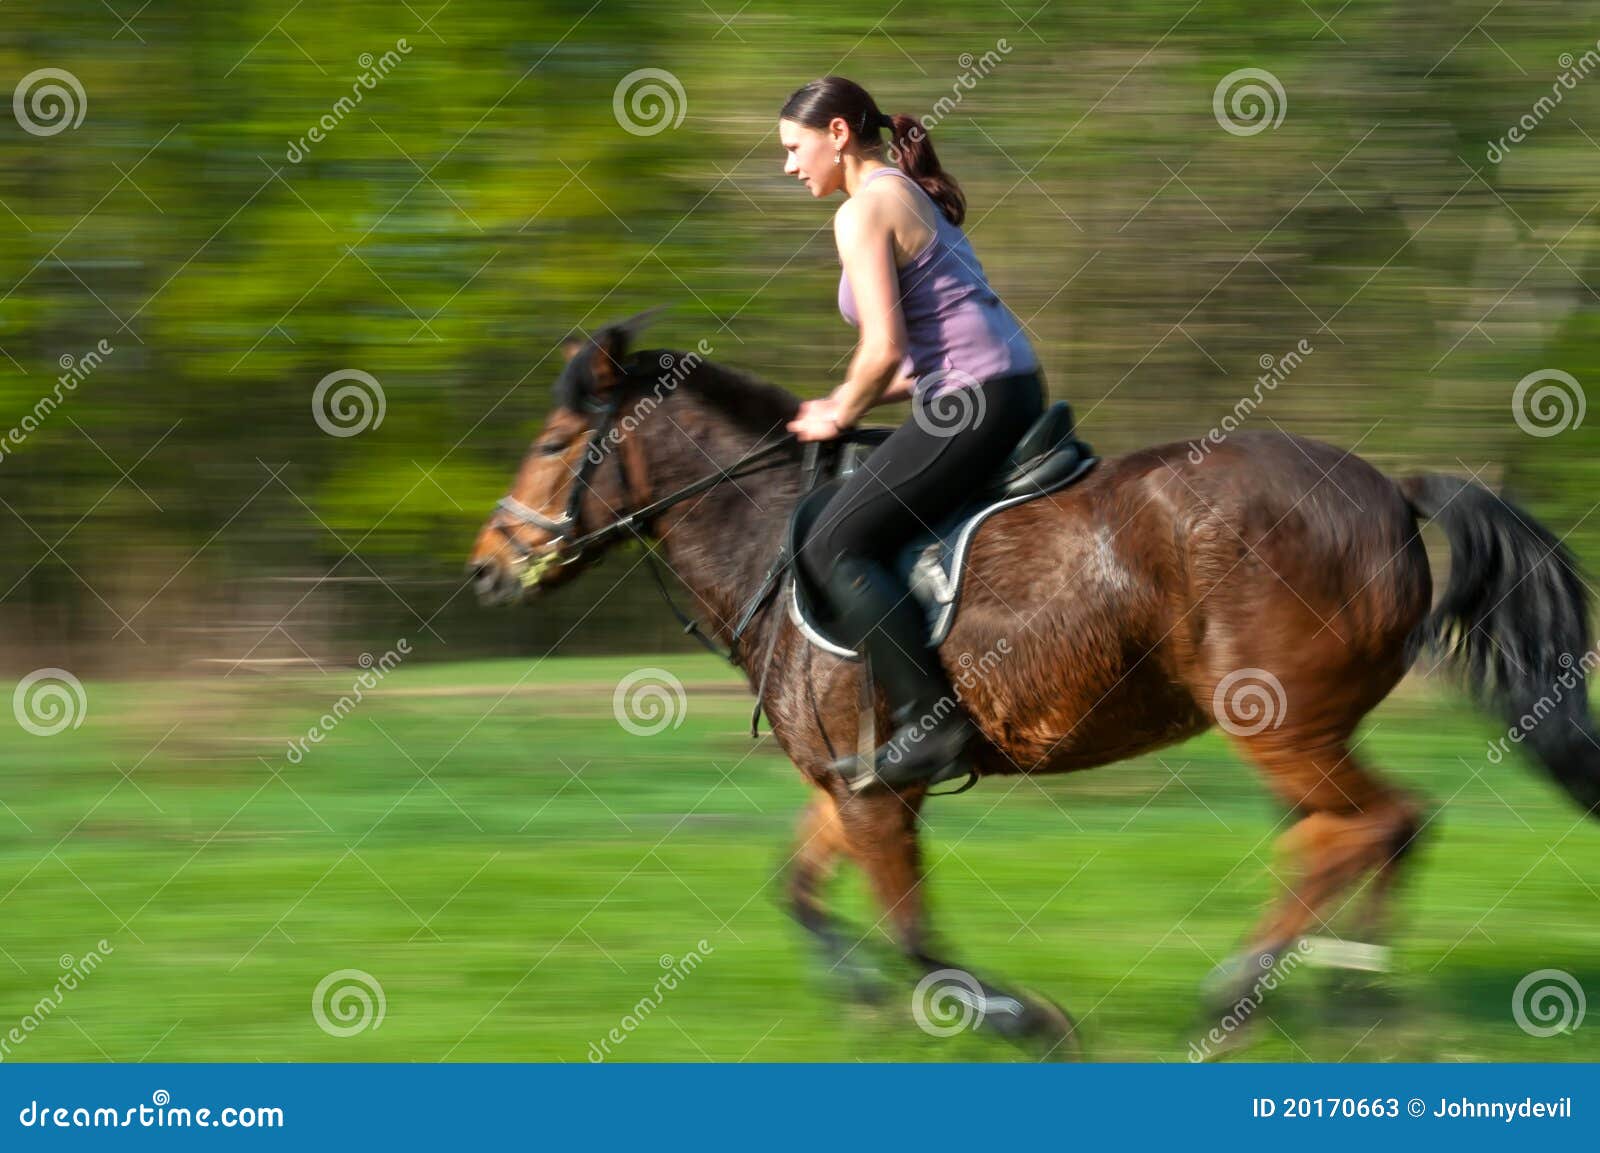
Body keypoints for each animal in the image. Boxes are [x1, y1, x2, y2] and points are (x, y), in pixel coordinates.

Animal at [468, 318, 1600, 1056]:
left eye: (553, 445)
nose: (485, 569)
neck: (768, 540)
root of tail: (1390, 490)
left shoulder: (883, 791)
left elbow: (916, 936)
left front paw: (1020, 1019)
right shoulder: (853, 783)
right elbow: (799, 889)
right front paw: (856, 997)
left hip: (1277, 722)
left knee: (1380, 822)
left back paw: (1273, 990)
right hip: (1298, 731)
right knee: (1351, 834)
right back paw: (1332, 991)